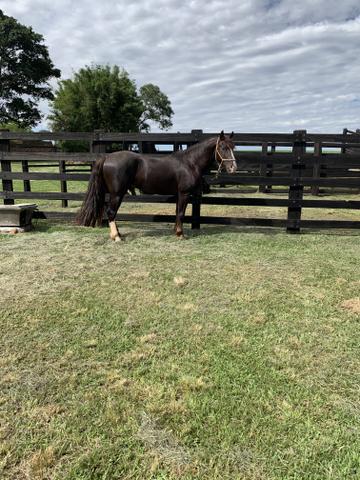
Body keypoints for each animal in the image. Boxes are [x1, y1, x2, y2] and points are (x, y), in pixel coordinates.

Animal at [76, 130, 236, 240]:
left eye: (233, 147)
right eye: (223, 147)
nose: (233, 168)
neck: (190, 162)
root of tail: (106, 157)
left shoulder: (179, 194)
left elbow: (177, 212)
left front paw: (176, 232)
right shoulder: (184, 193)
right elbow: (181, 213)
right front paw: (180, 234)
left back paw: (118, 234)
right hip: (117, 193)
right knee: (110, 212)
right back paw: (116, 237)